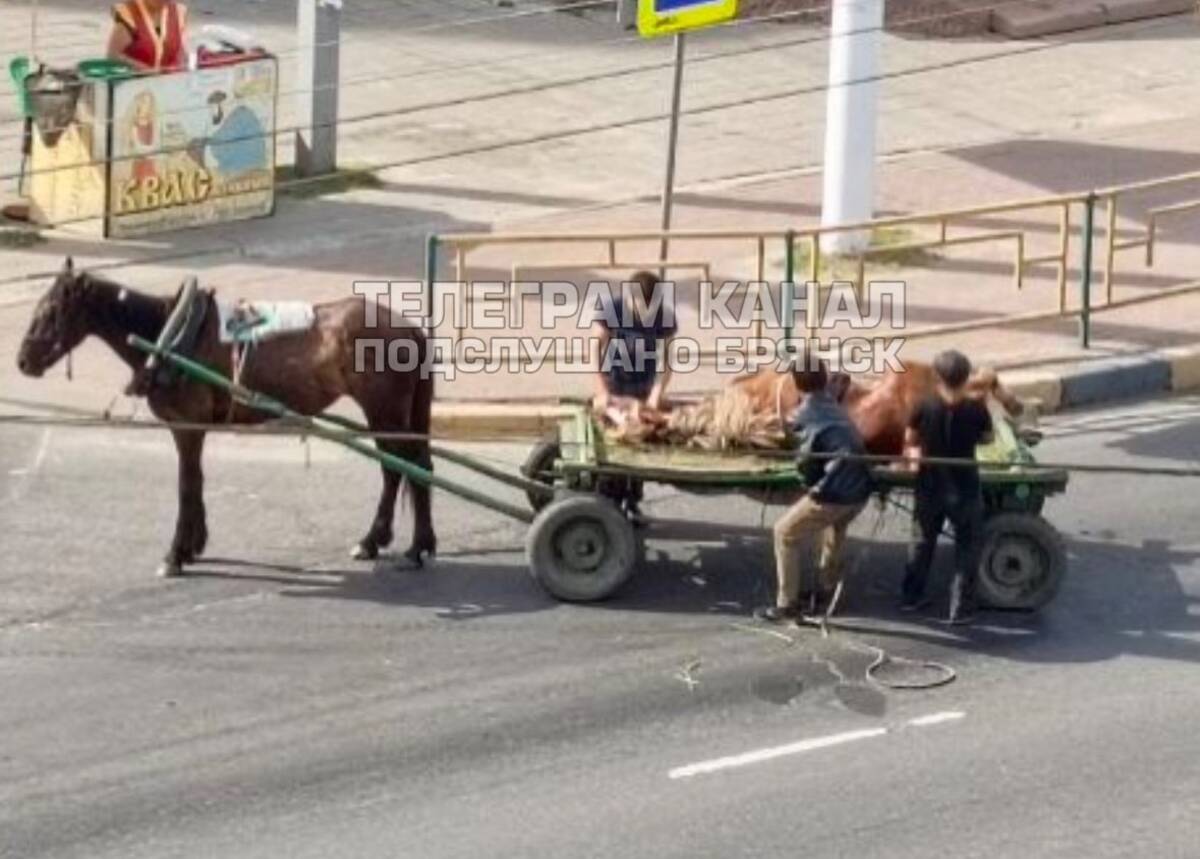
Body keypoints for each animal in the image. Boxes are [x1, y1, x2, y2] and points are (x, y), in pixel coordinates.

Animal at [17, 256, 436, 578]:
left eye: (50, 312)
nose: (22, 361)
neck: (170, 335)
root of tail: (411, 330)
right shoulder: (194, 428)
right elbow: (196, 481)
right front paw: (193, 545)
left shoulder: (186, 426)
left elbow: (186, 484)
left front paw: (175, 554)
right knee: (409, 466)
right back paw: (400, 543)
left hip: (383, 410)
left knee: (403, 467)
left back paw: (400, 544)